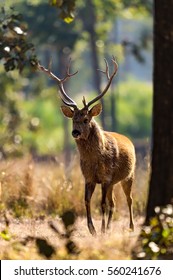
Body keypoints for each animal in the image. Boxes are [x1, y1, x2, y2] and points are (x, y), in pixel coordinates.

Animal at [37, 57, 135, 236]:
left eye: (86, 119)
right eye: (73, 119)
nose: (75, 132)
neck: (95, 160)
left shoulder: (106, 177)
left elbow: (102, 204)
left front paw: (100, 229)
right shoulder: (88, 177)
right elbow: (87, 201)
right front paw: (93, 229)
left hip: (129, 175)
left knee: (128, 199)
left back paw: (130, 227)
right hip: (113, 182)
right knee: (114, 203)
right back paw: (109, 227)